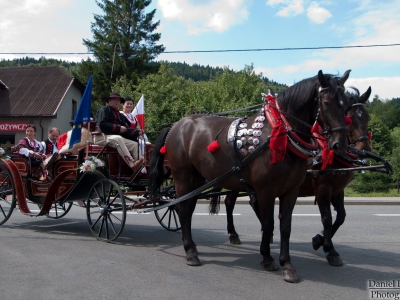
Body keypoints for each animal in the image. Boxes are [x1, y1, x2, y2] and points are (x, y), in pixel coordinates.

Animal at [149, 70, 350, 284]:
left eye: (345, 103)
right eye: (326, 102)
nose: (339, 144)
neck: (280, 136)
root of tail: (176, 125)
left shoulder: (291, 191)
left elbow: (285, 226)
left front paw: (287, 265)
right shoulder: (266, 190)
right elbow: (268, 223)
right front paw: (267, 258)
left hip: (196, 179)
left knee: (187, 209)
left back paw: (192, 246)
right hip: (182, 177)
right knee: (182, 209)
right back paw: (190, 252)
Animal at [209, 85, 372, 266]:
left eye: (366, 117)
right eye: (348, 117)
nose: (364, 150)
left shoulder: (338, 189)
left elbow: (341, 217)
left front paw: (320, 240)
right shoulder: (323, 188)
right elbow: (327, 219)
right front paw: (328, 248)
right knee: (230, 203)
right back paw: (234, 233)